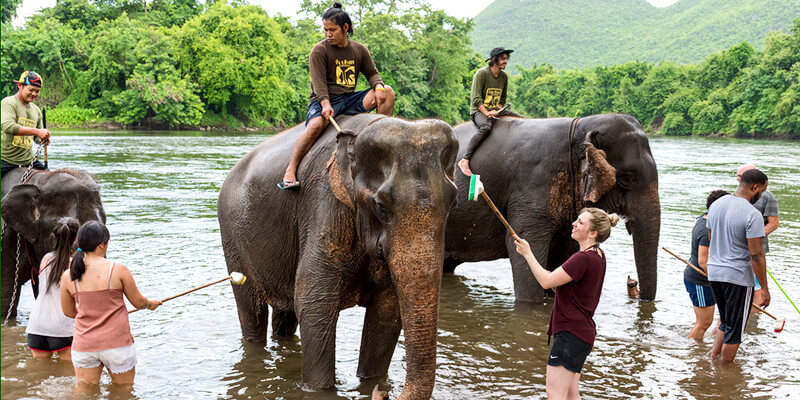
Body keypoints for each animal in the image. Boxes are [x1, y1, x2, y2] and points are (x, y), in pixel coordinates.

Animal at [217, 113, 456, 400]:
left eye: (453, 203)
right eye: (381, 207)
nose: (383, 394)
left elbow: (387, 308)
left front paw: (371, 382)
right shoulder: (324, 203)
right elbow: (314, 302)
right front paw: (321, 390)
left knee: (286, 313)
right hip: (232, 236)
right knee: (251, 309)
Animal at [440, 114, 660, 302]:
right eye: (628, 178)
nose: (632, 285)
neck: (579, 127)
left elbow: (563, 257)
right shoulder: (532, 185)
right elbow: (521, 245)